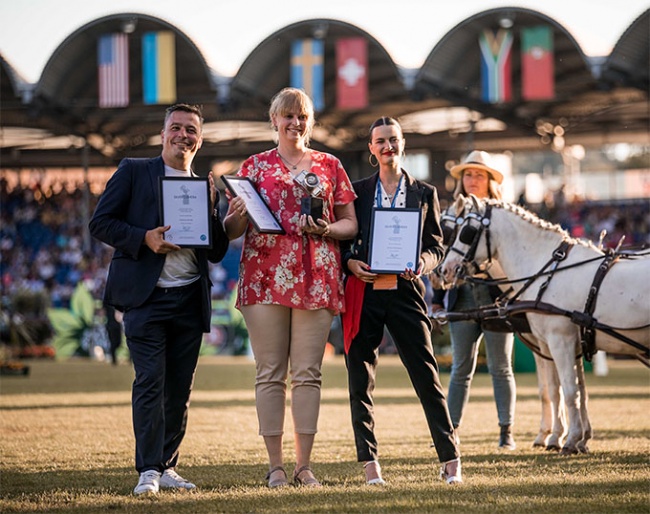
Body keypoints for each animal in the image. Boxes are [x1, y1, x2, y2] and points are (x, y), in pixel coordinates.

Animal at [438, 195, 644, 452]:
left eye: (465, 232)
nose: (443, 270)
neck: (546, 273)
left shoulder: (559, 340)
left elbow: (566, 390)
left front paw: (566, 438)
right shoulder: (563, 343)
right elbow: (567, 390)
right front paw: (571, 437)